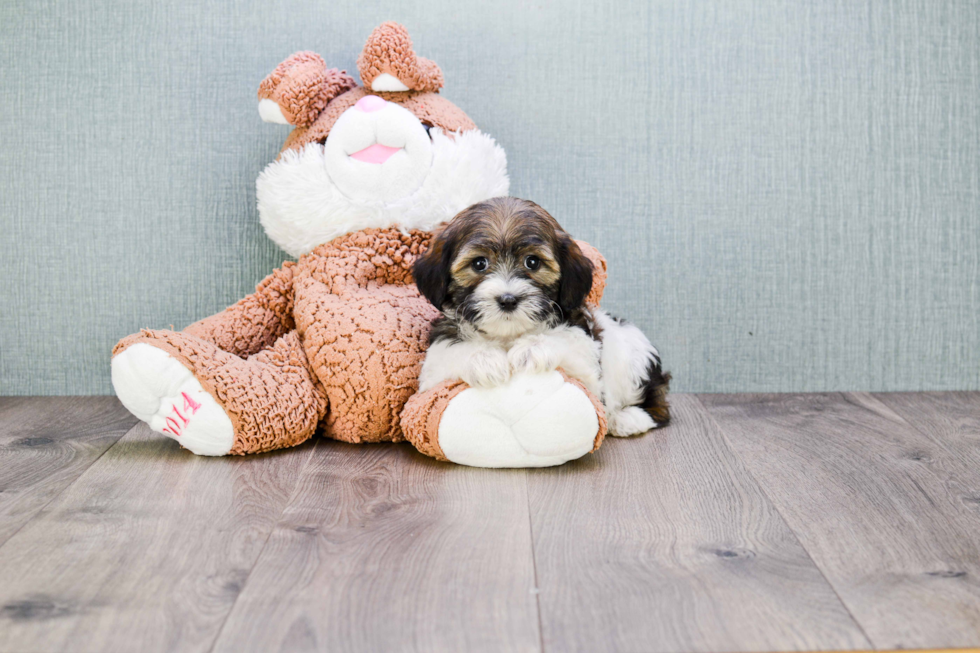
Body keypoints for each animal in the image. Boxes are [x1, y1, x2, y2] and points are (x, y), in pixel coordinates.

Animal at [414, 196, 672, 436]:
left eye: (532, 262)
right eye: (479, 263)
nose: (508, 299)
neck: (508, 335)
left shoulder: (587, 371)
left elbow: (566, 341)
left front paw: (531, 348)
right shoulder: (433, 375)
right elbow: (449, 351)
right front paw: (485, 360)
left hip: (635, 355)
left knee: (658, 405)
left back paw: (627, 419)